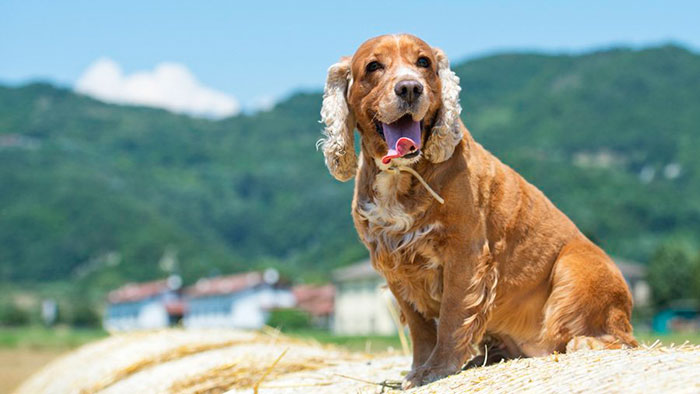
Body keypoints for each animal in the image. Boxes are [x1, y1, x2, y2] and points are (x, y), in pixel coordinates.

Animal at [320, 35, 636, 390]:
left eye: (423, 62)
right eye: (374, 66)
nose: (410, 88)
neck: (403, 174)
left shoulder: (465, 253)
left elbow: (453, 315)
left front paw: (436, 370)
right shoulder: (394, 264)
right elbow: (419, 328)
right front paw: (417, 371)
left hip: (577, 267)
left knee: (618, 339)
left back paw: (584, 343)